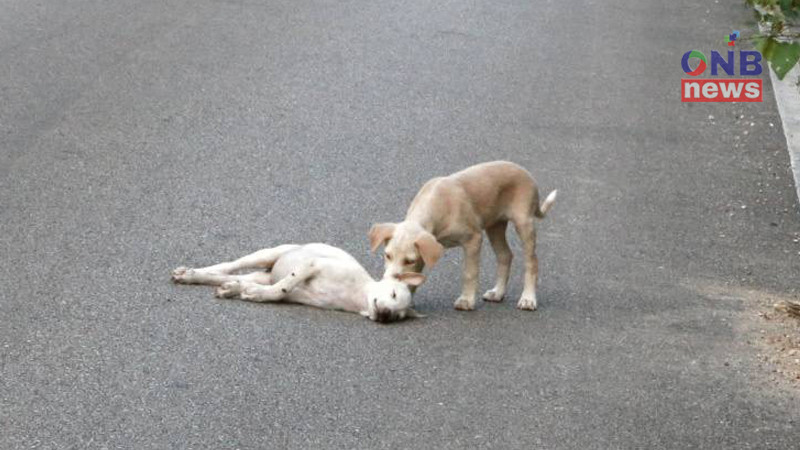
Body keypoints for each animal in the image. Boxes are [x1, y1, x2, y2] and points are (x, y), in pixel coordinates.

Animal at [173, 244, 428, 322]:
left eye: (398, 317)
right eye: (393, 294)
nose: (385, 315)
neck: (358, 296)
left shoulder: (296, 295)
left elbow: (276, 291)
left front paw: (247, 292)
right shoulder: (313, 265)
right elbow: (281, 288)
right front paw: (254, 294)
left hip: (262, 274)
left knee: (232, 278)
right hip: (267, 254)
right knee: (229, 266)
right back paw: (190, 273)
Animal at [368, 162, 556, 312]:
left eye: (409, 260)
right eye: (387, 255)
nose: (388, 282)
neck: (436, 203)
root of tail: (524, 171)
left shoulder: (473, 239)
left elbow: (469, 272)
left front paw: (466, 300)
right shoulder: (424, 253)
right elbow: (414, 277)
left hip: (524, 223)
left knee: (531, 261)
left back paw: (528, 299)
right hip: (495, 226)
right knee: (505, 255)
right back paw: (498, 293)